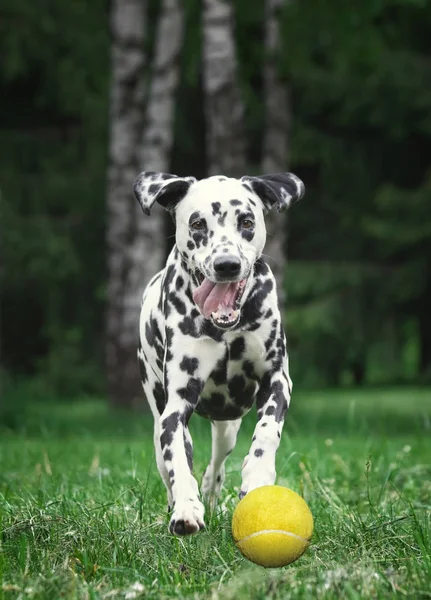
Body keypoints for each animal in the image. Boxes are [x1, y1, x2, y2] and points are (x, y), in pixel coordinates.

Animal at [133, 171, 306, 536]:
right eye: (197, 223)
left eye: (247, 221)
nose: (227, 265)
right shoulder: (176, 407)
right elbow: (179, 463)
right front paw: (186, 508)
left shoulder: (277, 380)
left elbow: (267, 431)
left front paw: (257, 479)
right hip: (157, 417)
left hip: (227, 429)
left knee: (215, 468)